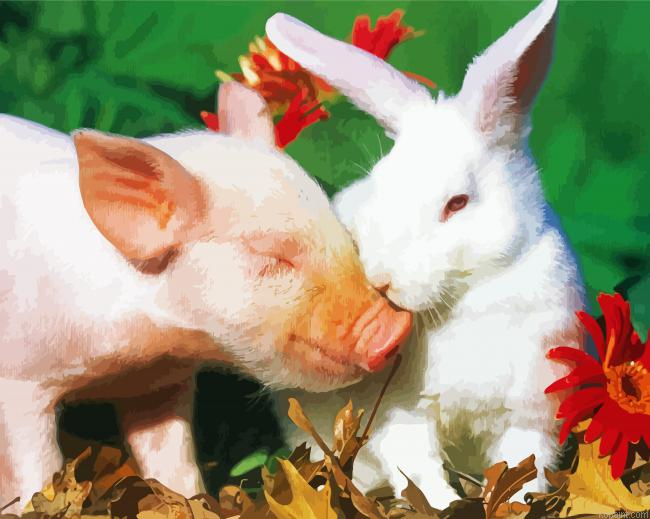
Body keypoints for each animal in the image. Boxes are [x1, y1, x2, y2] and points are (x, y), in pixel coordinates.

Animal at [0, 81, 411, 510]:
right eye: (272, 256)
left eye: (343, 234)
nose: (397, 326)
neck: (130, 355)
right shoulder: (20, 382)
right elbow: (36, 470)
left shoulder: (157, 382)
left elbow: (173, 459)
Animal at [267, 0, 585, 507]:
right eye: (379, 184)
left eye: (457, 203)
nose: (380, 279)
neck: (469, 298)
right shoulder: (401, 412)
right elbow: (415, 465)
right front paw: (443, 504)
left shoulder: (532, 410)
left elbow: (524, 469)